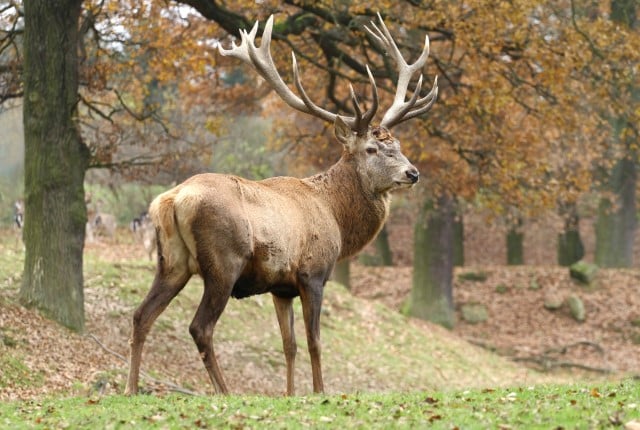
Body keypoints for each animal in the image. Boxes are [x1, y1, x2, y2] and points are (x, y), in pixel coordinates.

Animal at [125, 12, 436, 396]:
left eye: (399, 145)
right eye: (372, 149)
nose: (413, 173)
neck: (335, 214)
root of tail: (171, 200)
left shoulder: (280, 287)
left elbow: (289, 345)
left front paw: (289, 394)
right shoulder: (313, 273)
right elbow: (315, 341)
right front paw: (319, 391)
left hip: (171, 262)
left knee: (141, 315)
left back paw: (131, 388)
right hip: (223, 262)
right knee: (200, 327)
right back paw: (225, 392)